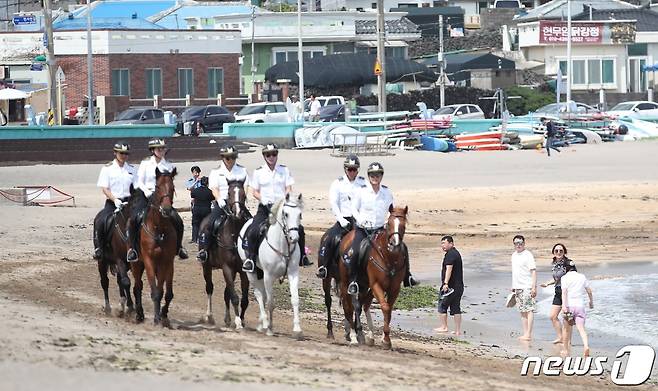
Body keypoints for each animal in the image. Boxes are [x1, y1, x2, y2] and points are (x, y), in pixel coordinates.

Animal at [129, 168, 177, 328]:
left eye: (172, 188)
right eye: (157, 187)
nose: (166, 209)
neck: (159, 229)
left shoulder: (165, 261)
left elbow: (161, 291)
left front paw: (161, 317)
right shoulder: (149, 260)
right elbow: (154, 291)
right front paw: (156, 319)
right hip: (136, 264)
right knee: (137, 287)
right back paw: (139, 314)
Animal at [197, 180, 249, 328]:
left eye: (243, 194)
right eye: (229, 193)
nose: (237, 212)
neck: (234, 235)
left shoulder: (242, 270)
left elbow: (243, 299)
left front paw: (241, 319)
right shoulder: (227, 268)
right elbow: (234, 297)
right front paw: (238, 322)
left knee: (226, 293)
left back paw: (227, 319)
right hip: (206, 267)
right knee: (209, 288)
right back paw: (209, 316)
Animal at [237, 194, 304, 338]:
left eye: (300, 214)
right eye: (286, 214)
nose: (294, 238)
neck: (283, 247)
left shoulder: (293, 273)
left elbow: (295, 299)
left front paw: (297, 329)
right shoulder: (268, 276)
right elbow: (270, 302)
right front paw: (270, 328)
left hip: (260, 272)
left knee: (262, 295)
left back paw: (261, 324)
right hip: (252, 272)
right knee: (259, 295)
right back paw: (264, 324)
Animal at [336, 205, 408, 350]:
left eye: (403, 225)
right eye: (389, 224)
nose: (394, 245)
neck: (389, 258)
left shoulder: (394, 288)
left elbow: (388, 310)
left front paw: (385, 339)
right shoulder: (376, 285)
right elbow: (385, 307)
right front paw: (385, 340)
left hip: (364, 285)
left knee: (362, 304)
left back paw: (364, 335)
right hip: (346, 283)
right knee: (349, 307)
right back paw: (353, 337)